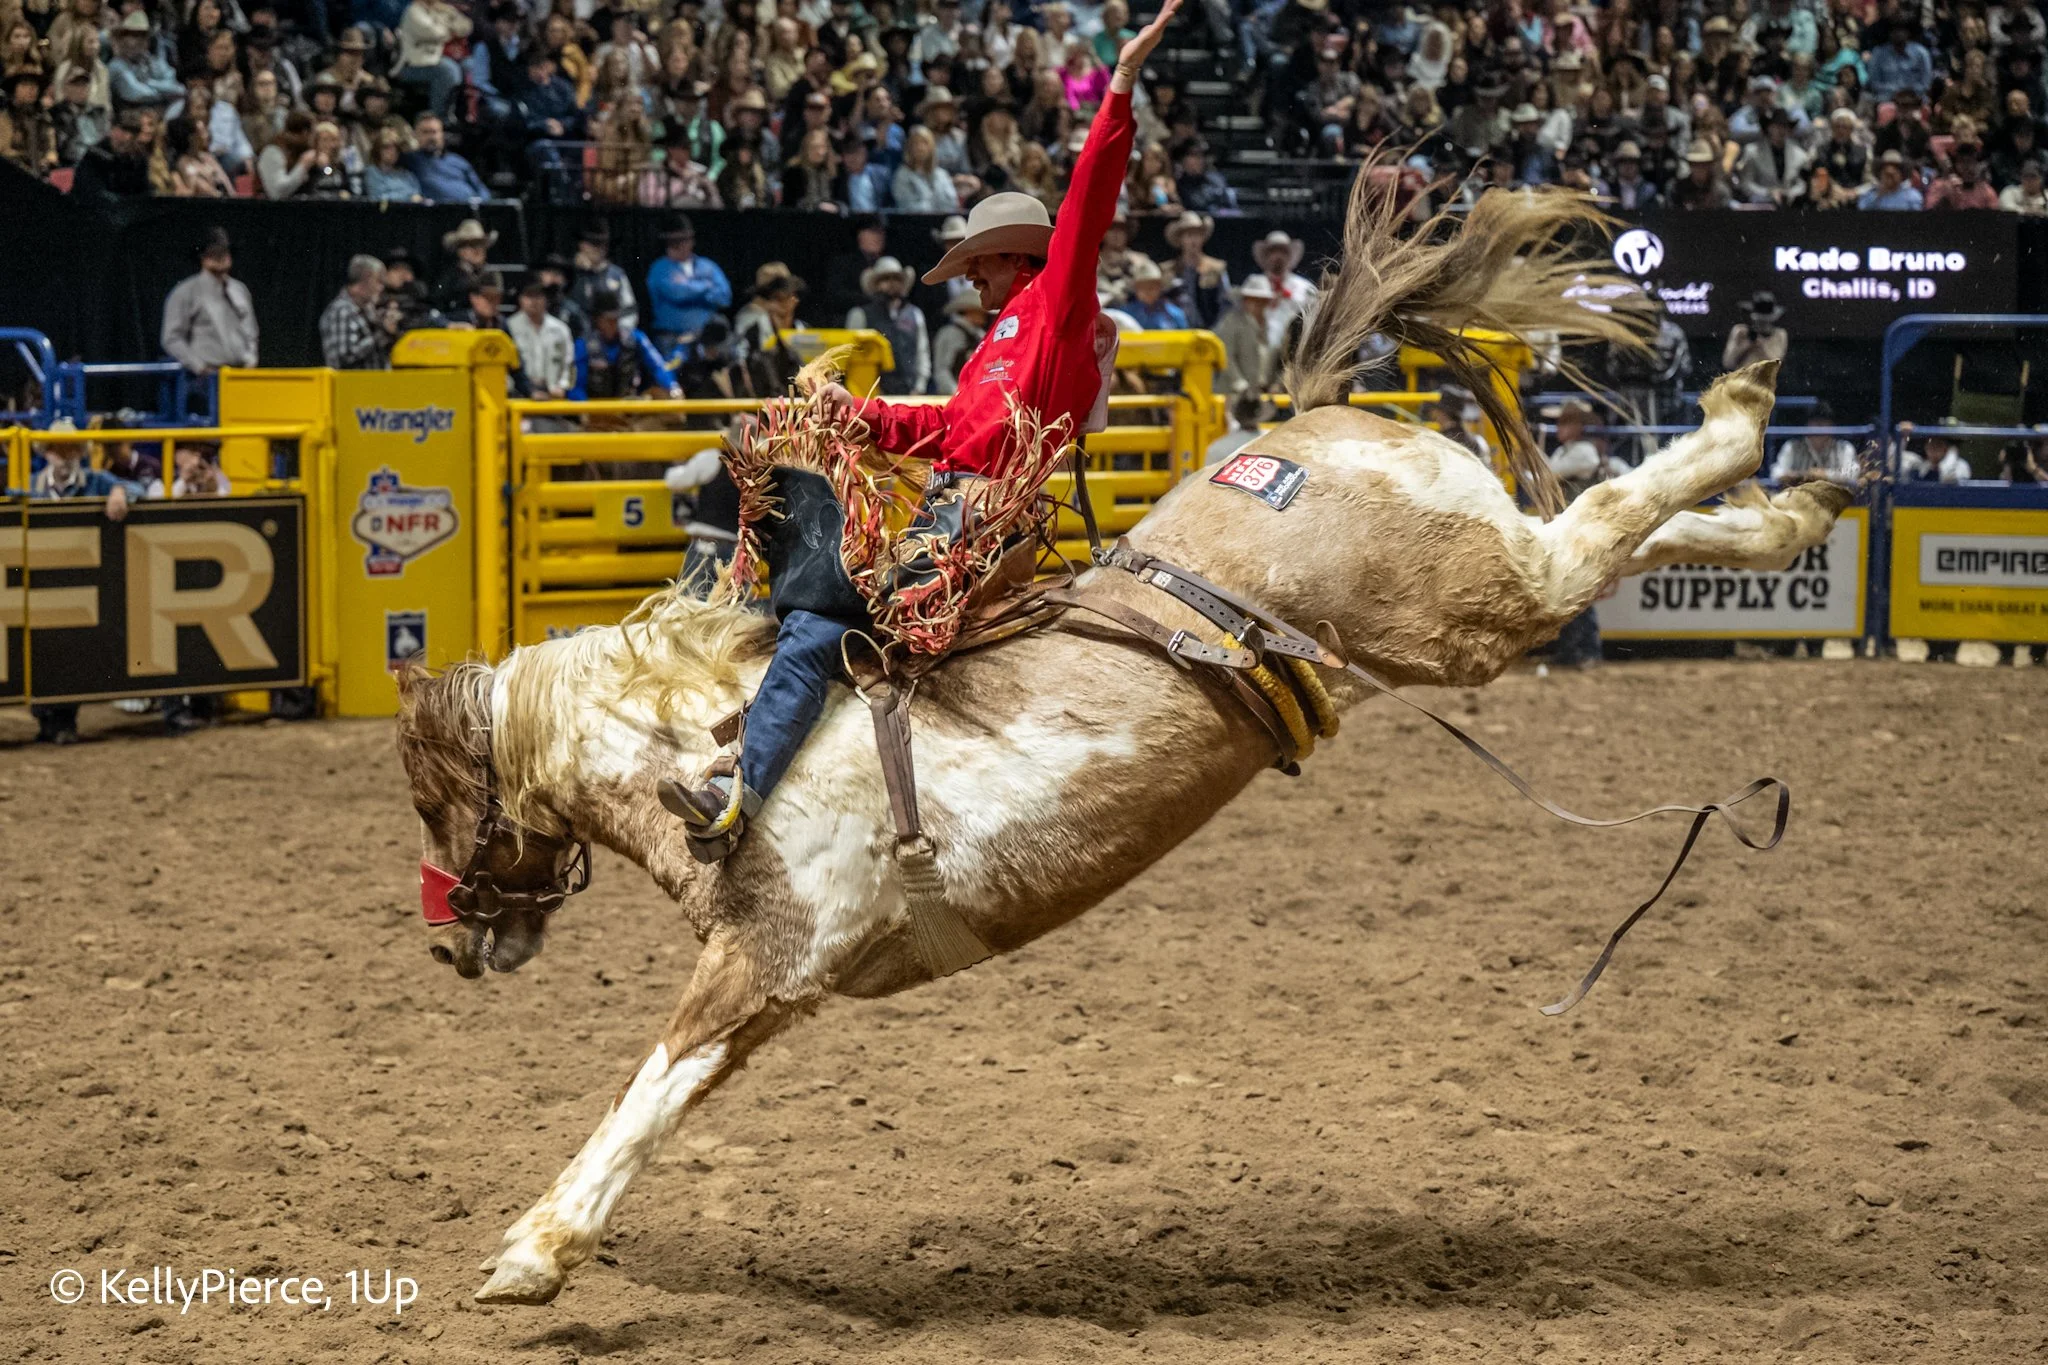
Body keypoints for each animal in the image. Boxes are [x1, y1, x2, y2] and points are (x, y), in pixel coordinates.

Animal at [394, 184, 1858, 1305]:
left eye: (429, 802)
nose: (451, 942)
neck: (719, 743)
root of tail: (1308, 419)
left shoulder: (770, 962)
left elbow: (649, 1089)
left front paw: (530, 1254)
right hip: (1474, 603)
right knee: (1623, 528)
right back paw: (1798, 502)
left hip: (1466, 600)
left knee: (1605, 516)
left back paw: (1747, 406)